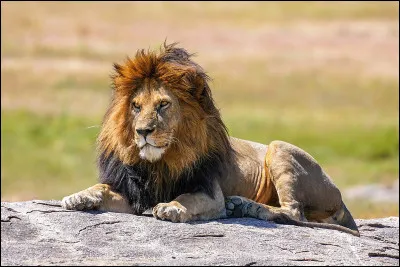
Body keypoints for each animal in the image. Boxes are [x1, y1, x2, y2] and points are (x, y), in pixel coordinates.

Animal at [61, 43, 360, 238]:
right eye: (135, 106)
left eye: (162, 105)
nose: (143, 131)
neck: (161, 162)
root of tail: (341, 198)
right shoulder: (133, 194)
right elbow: (101, 188)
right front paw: (79, 196)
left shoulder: (209, 192)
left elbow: (187, 198)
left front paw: (172, 207)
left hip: (278, 148)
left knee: (294, 212)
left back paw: (244, 205)